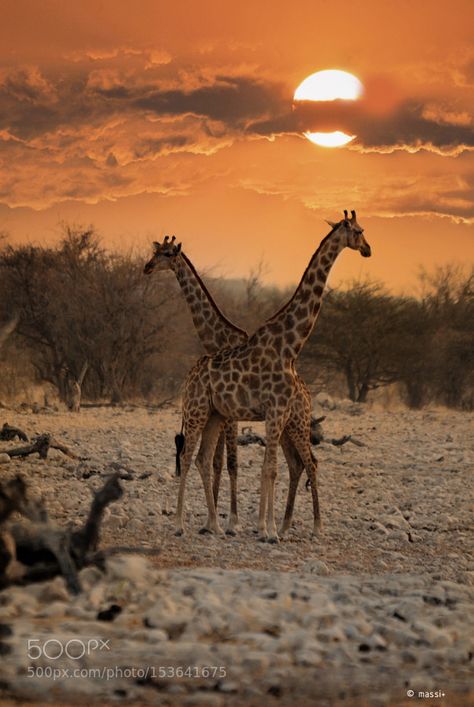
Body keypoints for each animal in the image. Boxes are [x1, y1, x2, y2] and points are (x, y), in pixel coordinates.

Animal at [143, 238, 318, 536]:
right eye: (154, 252)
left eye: (165, 254)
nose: (148, 267)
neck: (216, 335)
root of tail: (306, 394)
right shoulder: (224, 412)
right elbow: (216, 461)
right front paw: (213, 520)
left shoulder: (230, 415)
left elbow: (229, 463)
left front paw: (232, 521)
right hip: (285, 427)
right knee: (297, 465)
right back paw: (284, 525)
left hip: (294, 423)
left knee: (309, 463)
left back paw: (306, 526)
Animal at [177, 210, 370, 544]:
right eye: (358, 231)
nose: (369, 249)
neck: (290, 346)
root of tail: (189, 377)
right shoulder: (274, 411)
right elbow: (267, 469)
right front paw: (265, 530)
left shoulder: (276, 413)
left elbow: (270, 468)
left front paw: (264, 528)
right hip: (198, 410)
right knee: (189, 457)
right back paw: (180, 524)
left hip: (219, 415)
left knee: (207, 459)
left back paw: (217, 524)